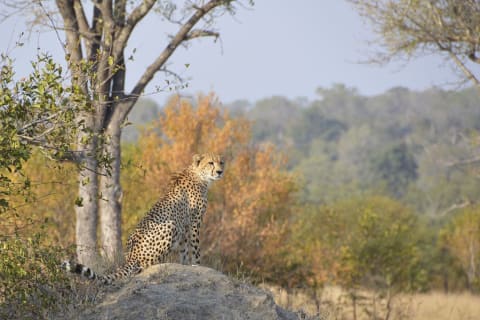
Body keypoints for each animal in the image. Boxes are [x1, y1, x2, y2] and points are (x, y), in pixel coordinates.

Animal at [63, 154, 225, 284]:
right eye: (210, 162)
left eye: (221, 162)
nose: (220, 171)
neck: (200, 176)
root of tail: (131, 257)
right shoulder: (194, 222)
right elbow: (195, 248)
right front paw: (199, 265)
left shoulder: (185, 226)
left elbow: (184, 249)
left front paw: (185, 265)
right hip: (170, 225)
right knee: (142, 267)